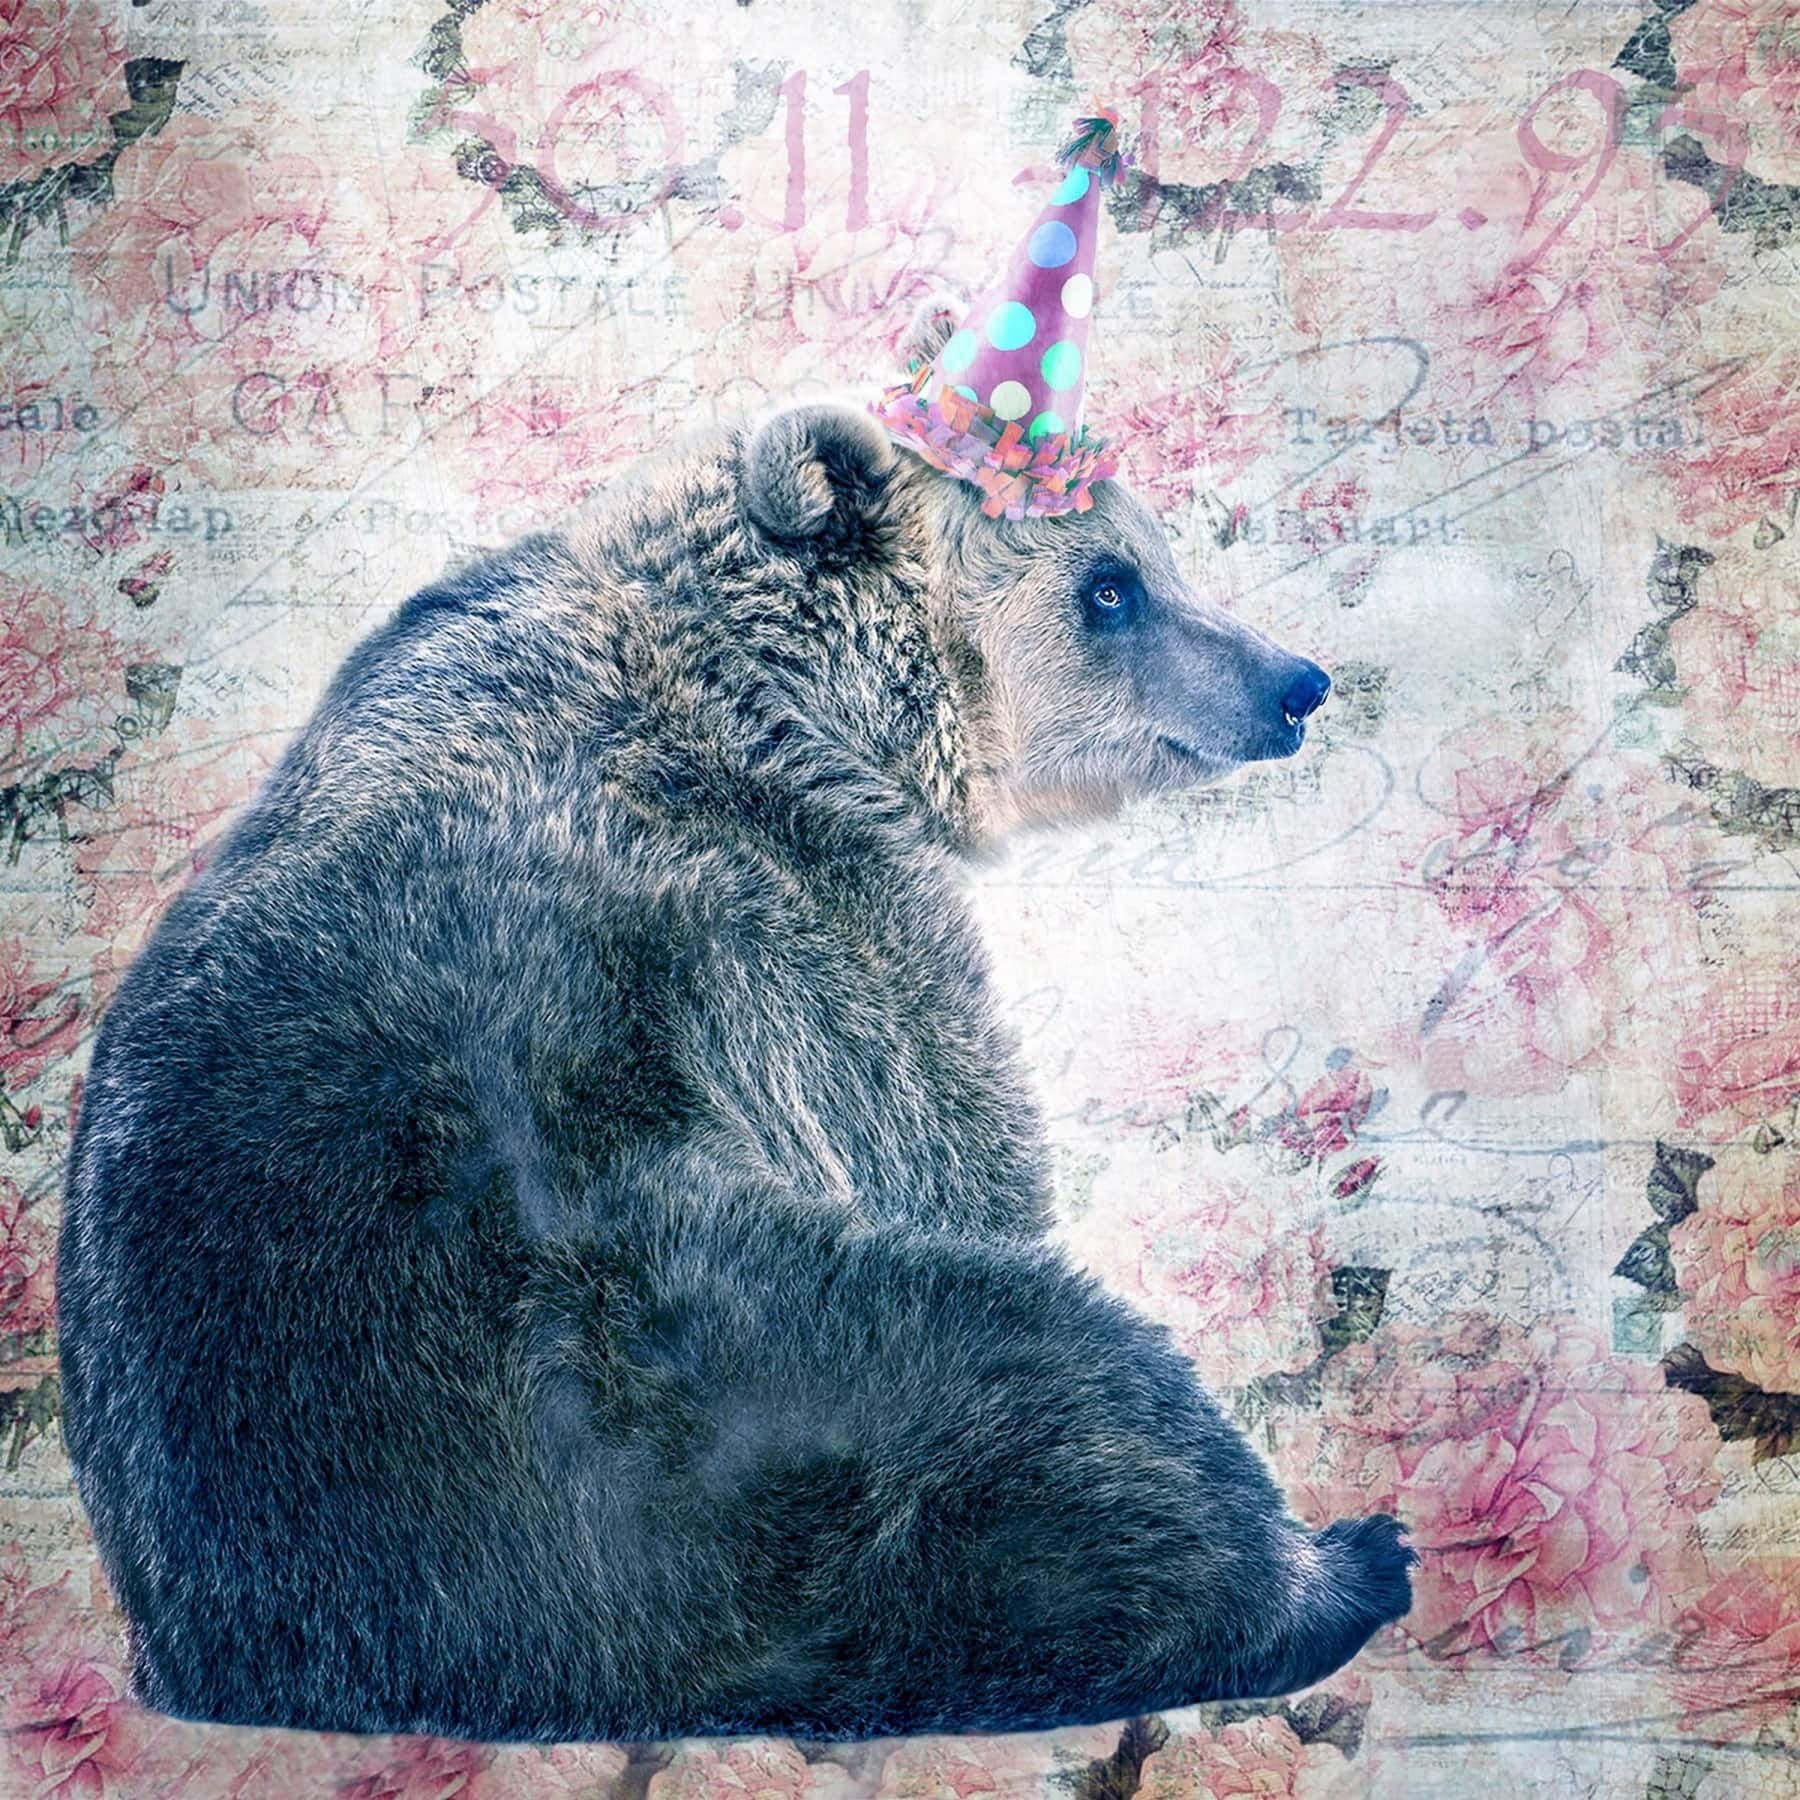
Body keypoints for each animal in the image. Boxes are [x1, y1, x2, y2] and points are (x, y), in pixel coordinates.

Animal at [53, 299, 1414, 1747]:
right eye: (1111, 585)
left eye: (1148, 558)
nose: (1294, 682)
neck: (786, 687)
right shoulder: (823, 926)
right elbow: (958, 1131)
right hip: (681, 1349)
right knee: (1048, 1391)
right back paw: (1330, 1565)